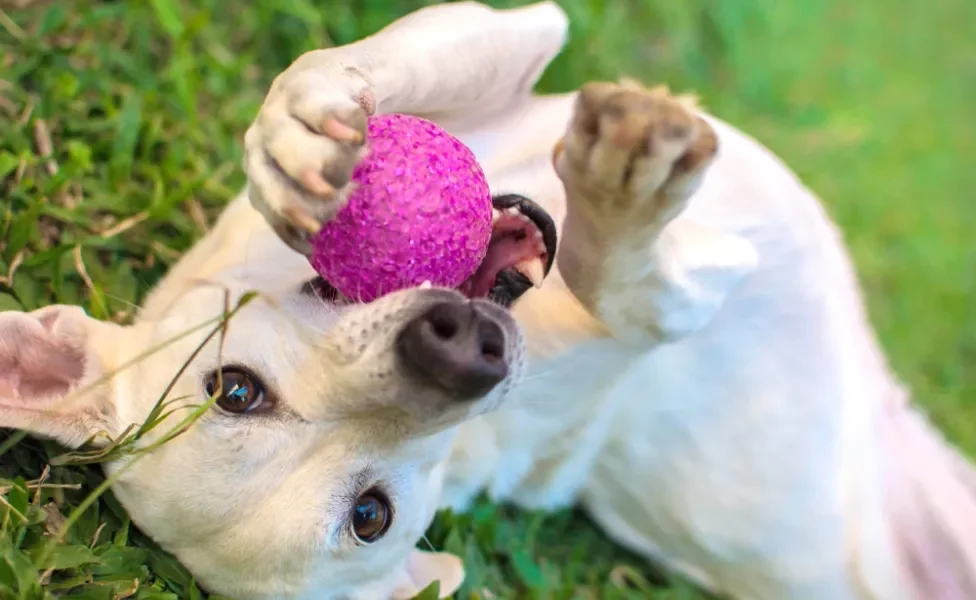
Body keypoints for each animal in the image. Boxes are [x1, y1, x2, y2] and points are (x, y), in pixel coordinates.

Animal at [1, 3, 976, 600]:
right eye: (371, 517)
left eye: (234, 389)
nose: (455, 348)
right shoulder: (664, 306)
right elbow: (627, 284)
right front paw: (627, 197)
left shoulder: (512, 40)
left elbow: (336, 65)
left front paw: (298, 127)